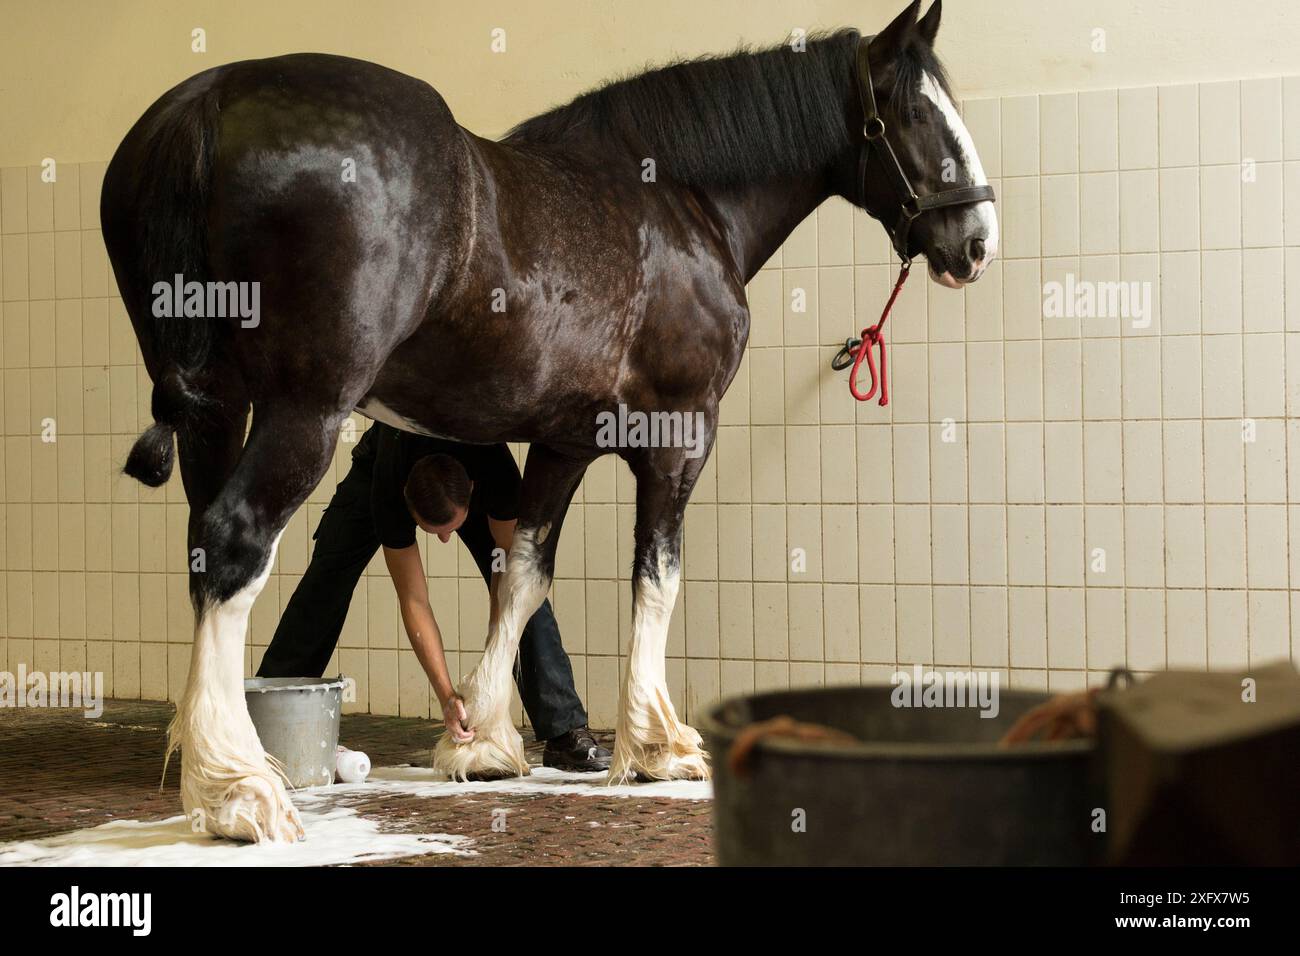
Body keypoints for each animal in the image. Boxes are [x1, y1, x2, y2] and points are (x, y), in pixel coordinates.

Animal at [101, 0, 993, 842]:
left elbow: (523, 572)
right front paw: (658, 745)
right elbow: (656, 576)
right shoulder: (680, 437)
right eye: (915, 113)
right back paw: (238, 791)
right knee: (236, 543)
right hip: (304, 410)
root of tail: (210, 101)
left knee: (206, 545)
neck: (681, 204)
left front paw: (484, 742)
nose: (976, 242)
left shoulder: (564, 444)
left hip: (218, 413)